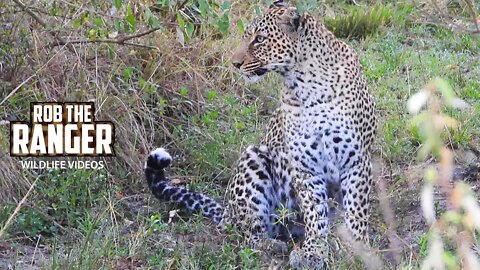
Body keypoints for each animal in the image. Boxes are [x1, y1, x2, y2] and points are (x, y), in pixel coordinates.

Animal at [144, 0, 376, 268]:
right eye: (247, 37)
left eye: (260, 39)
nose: (234, 63)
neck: (307, 84)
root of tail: (229, 212)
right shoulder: (305, 166)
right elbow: (315, 213)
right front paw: (313, 252)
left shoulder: (357, 160)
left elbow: (356, 210)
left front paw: (357, 248)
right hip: (253, 162)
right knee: (249, 233)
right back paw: (274, 245)